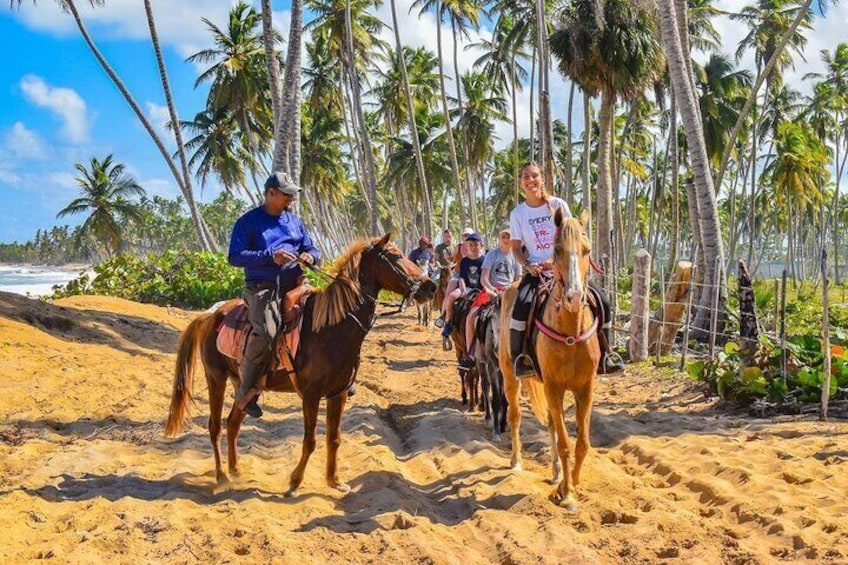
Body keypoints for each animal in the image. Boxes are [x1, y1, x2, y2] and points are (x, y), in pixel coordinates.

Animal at [164, 236, 438, 496]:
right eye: (396, 256)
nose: (430, 286)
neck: (330, 328)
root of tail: (210, 316)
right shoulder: (311, 394)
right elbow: (310, 440)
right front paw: (295, 482)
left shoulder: (338, 393)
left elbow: (334, 438)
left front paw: (334, 481)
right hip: (215, 377)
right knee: (215, 427)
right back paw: (222, 477)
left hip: (245, 385)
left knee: (233, 423)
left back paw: (236, 471)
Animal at [496, 209, 604, 508]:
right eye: (557, 250)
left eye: (586, 250)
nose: (574, 298)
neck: (570, 332)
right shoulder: (555, 387)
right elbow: (566, 442)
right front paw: (566, 494)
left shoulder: (584, 388)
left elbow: (582, 443)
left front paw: (571, 484)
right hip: (510, 375)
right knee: (515, 415)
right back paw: (516, 462)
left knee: (551, 423)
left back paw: (556, 472)